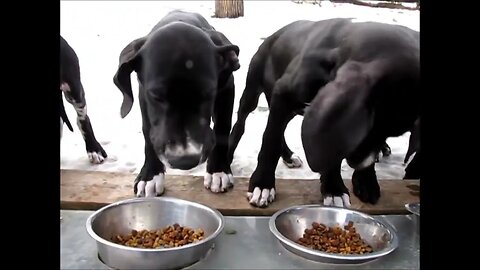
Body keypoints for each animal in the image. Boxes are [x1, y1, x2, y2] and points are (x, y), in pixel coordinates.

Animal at [112, 10, 240, 197]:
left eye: (208, 94)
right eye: (156, 96)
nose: (185, 161)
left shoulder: (227, 87)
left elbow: (223, 127)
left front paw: (218, 170)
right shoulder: (144, 95)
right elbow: (148, 131)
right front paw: (150, 174)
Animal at [231, 19, 418, 208]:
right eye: (367, 126)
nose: (358, 163)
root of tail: (273, 36)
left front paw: (338, 187)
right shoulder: (283, 94)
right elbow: (270, 141)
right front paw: (262, 185)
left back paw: (289, 156)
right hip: (254, 92)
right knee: (242, 123)